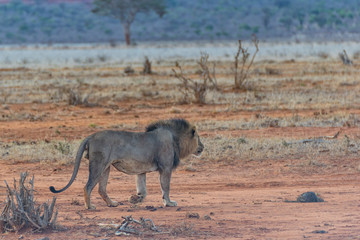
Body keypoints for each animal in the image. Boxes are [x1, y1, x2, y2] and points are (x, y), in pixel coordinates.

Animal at [49, 119, 204, 209]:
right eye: (198, 137)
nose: (202, 147)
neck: (175, 138)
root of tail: (91, 136)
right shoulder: (166, 168)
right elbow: (166, 187)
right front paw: (169, 203)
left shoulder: (141, 171)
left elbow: (143, 190)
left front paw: (135, 199)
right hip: (99, 164)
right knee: (87, 187)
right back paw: (90, 206)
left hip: (106, 167)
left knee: (101, 189)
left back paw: (112, 204)